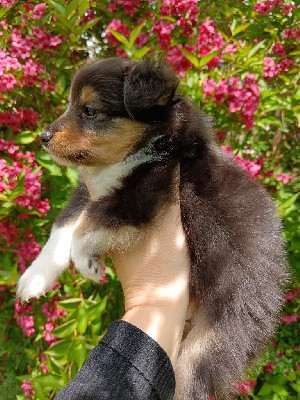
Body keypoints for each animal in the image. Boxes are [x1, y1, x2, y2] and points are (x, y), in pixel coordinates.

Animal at [17, 57, 288, 398]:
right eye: (70, 104)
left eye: (89, 110)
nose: (43, 136)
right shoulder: (90, 189)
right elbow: (64, 226)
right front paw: (35, 278)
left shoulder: (145, 192)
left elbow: (88, 224)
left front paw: (87, 262)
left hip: (213, 338)